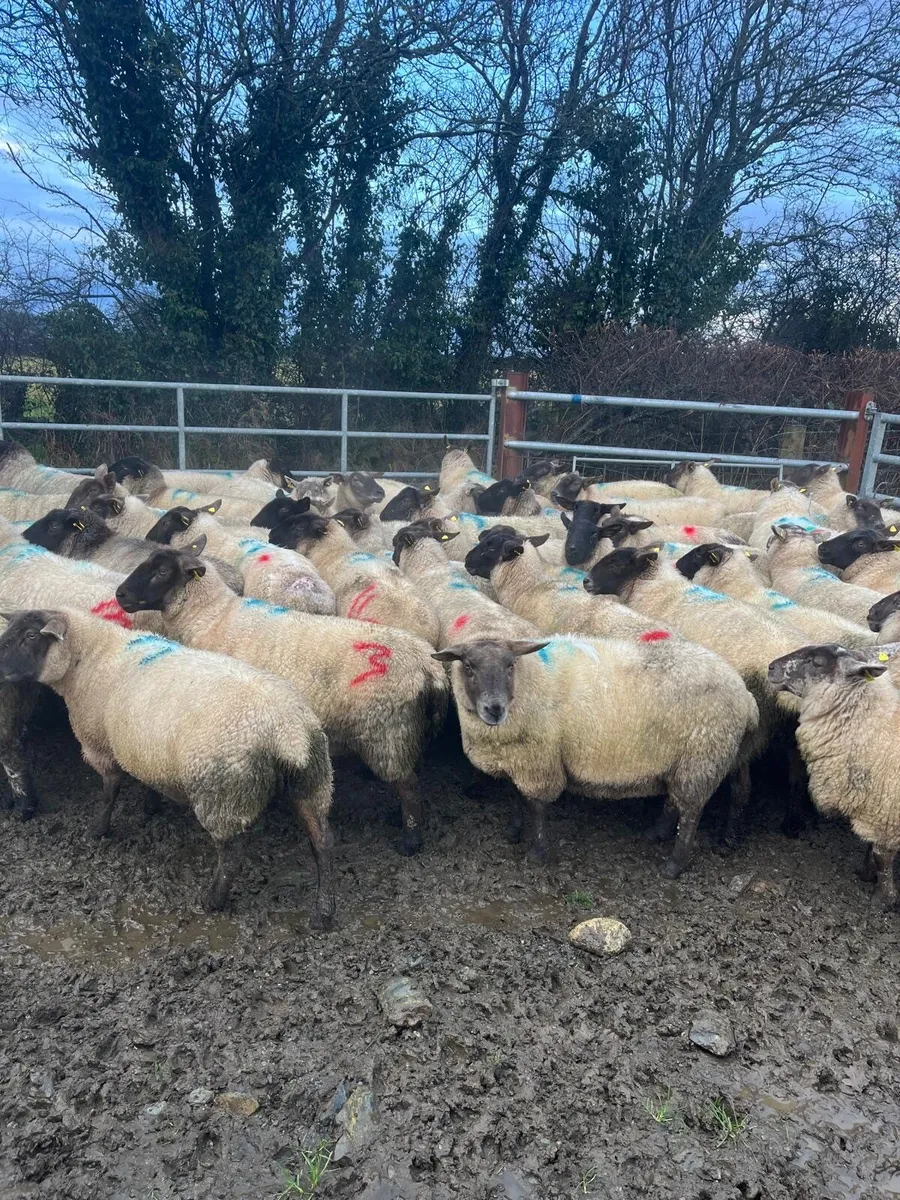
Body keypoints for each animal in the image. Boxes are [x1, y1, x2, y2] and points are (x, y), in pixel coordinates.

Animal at [0, 607, 335, 923]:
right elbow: (145, 780)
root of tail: (286, 731)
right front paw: (151, 806)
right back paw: (322, 913)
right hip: (314, 782)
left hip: (223, 793)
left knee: (232, 857)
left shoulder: (100, 745)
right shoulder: (142, 748)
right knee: (322, 845)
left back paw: (213, 900)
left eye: (31, 635)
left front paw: (98, 830)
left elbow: (109, 792)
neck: (90, 656)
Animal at [116, 545, 449, 854]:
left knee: (408, 787)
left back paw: (409, 841)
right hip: (405, 730)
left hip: (387, 731)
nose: (120, 594)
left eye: (161, 572)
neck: (210, 617)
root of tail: (427, 662)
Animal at [434, 632, 757, 876]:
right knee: (687, 799)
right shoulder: (522, 758)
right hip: (693, 759)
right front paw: (513, 832)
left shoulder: (538, 759)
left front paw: (537, 851)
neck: (528, 685)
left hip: (702, 757)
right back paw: (659, 833)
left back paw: (673, 866)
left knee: (691, 812)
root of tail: (745, 694)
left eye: (510, 665)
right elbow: (516, 796)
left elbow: (536, 806)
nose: (495, 709)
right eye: (468, 667)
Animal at [767, 643, 900, 908]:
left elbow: (882, 855)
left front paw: (883, 898)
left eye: (817, 662)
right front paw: (866, 873)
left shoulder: (888, 813)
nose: (771, 667)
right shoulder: (876, 806)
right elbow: (870, 847)